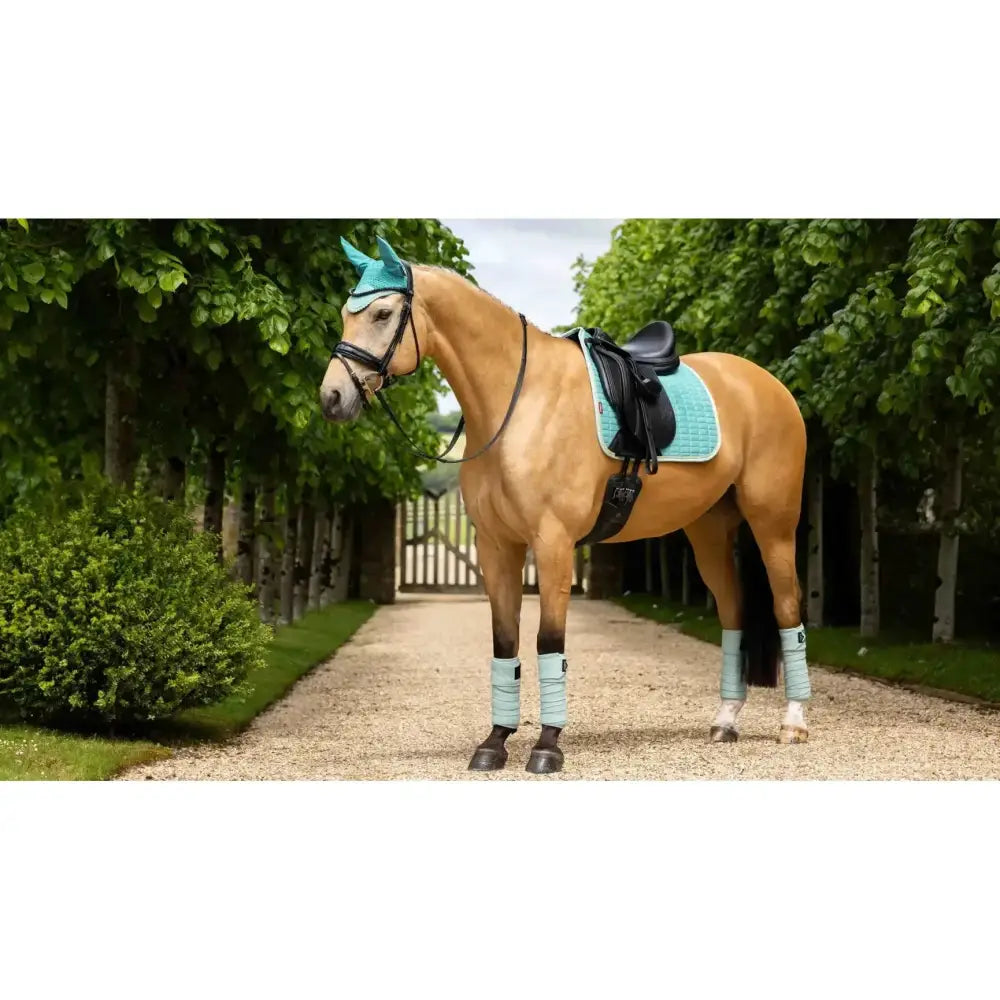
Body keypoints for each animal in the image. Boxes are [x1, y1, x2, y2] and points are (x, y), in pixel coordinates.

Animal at [320, 236, 812, 774]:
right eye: (345, 314)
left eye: (383, 313)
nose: (332, 397)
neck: (517, 404)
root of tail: (769, 383)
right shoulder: (496, 547)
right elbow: (505, 643)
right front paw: (494, 743)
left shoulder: (553, 544)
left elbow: (548, 644)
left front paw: (547, 746)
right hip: (709, 532)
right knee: (733, 612)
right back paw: (725, 722)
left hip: (774, 525)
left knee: (788, 607)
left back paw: (793, 723)